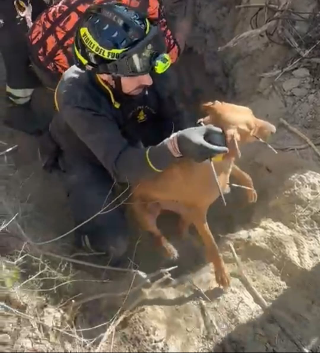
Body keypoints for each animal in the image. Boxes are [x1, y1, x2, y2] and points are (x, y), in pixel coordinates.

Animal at [129, 100, 276, 288]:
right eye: (251, 129)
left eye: (252, 113)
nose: (274, 129)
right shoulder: (199, 215)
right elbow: (213, 246)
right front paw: (221, 274)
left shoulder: (227, 165)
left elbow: (244, 175)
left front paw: (251, 191)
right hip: (146, 213)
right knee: (157, 233)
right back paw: (170, 249)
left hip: (184, 210)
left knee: (182, 225)